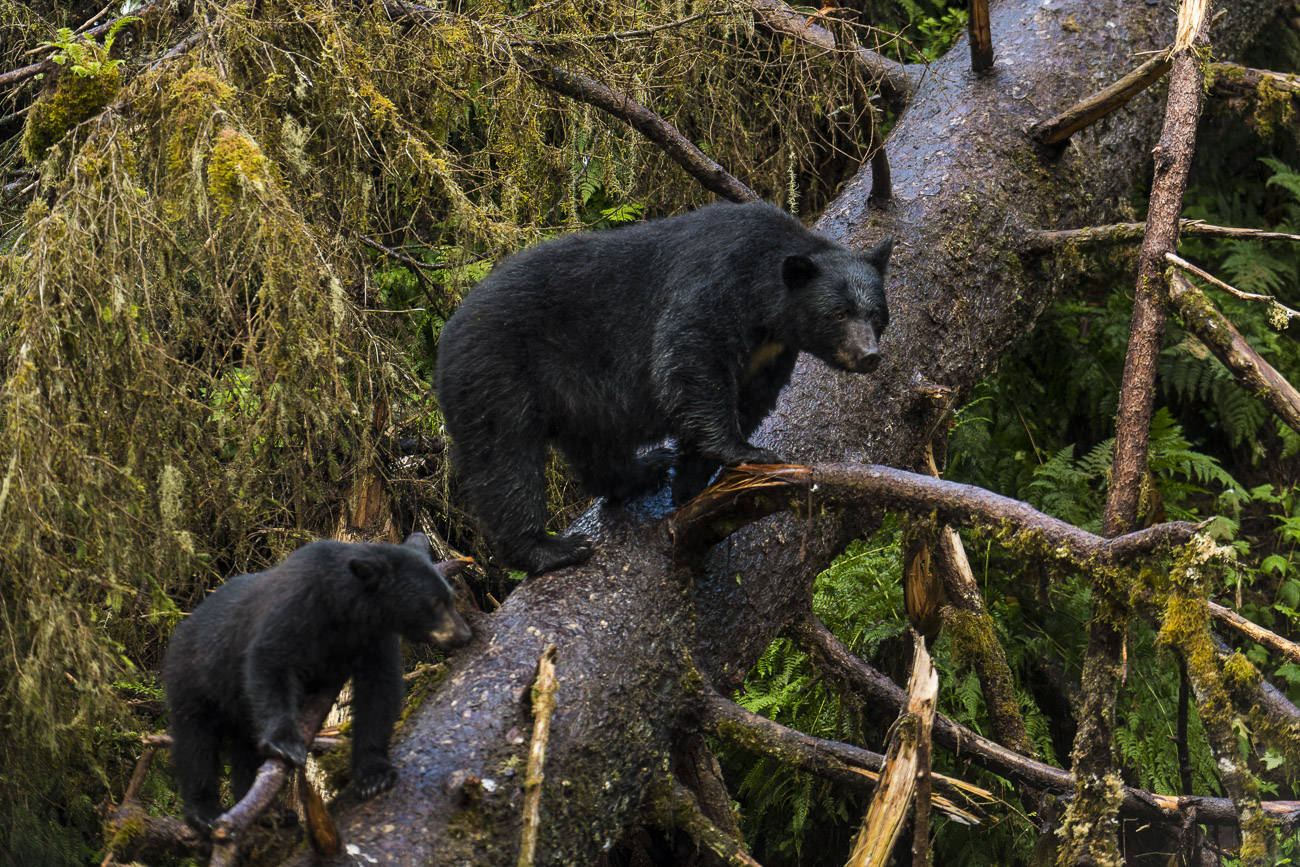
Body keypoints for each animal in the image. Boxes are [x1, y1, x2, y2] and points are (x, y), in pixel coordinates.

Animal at [163, 530, 473, 831]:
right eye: (433, 604)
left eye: (450, 596)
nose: (463, 635)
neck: (344, 608)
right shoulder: (296, 609)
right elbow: (269, 661)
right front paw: (285, 744)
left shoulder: (372, 638)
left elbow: (379, 691)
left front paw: (374, 774)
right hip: (193, 679)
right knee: (196, 743)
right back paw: (205, 812)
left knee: (244, 751)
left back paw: (268, 813)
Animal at [439, 201, 894, 577]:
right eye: (839, 313)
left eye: (876, 314)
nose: (869, 356)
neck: (767, 309)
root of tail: (447, 334)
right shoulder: (715, 282)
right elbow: (690, 359)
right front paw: (748, 452)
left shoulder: (772, 353)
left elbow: (749, 398)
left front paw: (690, 482)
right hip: (496, 377)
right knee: (506, 465)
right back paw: (551, 548)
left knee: (595, 449)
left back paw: (644, 470)